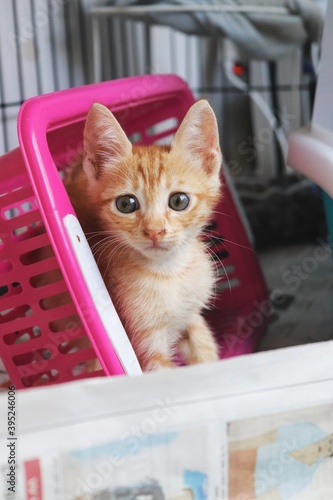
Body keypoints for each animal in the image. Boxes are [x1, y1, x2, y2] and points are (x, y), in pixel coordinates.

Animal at [64, 99, 220, 372]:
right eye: (126, 204)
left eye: (179, 201)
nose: (155, 230)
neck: (169, 273)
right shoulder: (146, 346)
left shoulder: (191, 317)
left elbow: (205, 353)